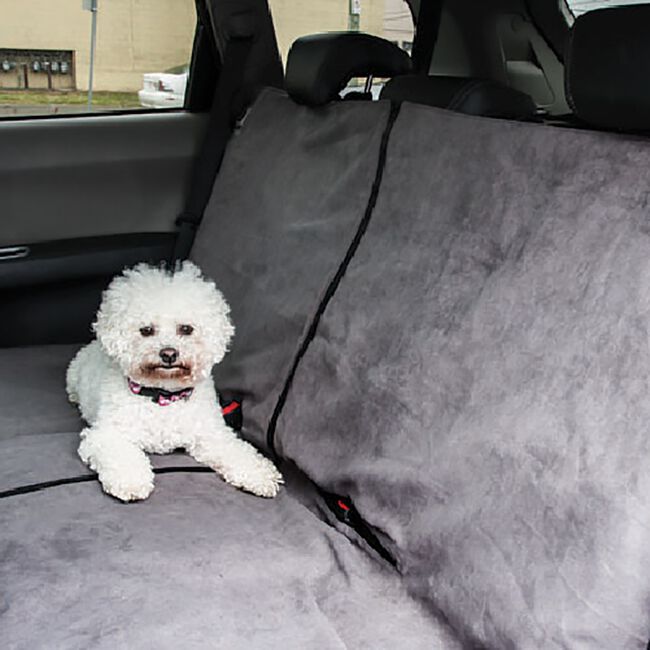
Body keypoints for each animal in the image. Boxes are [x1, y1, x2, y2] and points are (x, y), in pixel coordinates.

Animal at [67, 260, 282, 498]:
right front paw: (130, 481)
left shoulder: (212, 433)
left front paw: (259, 474)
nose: (169, 354)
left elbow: (236, 451)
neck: (163, 396)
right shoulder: (108, 433)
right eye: (146, 330)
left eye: (186, 329)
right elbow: (122, 455)